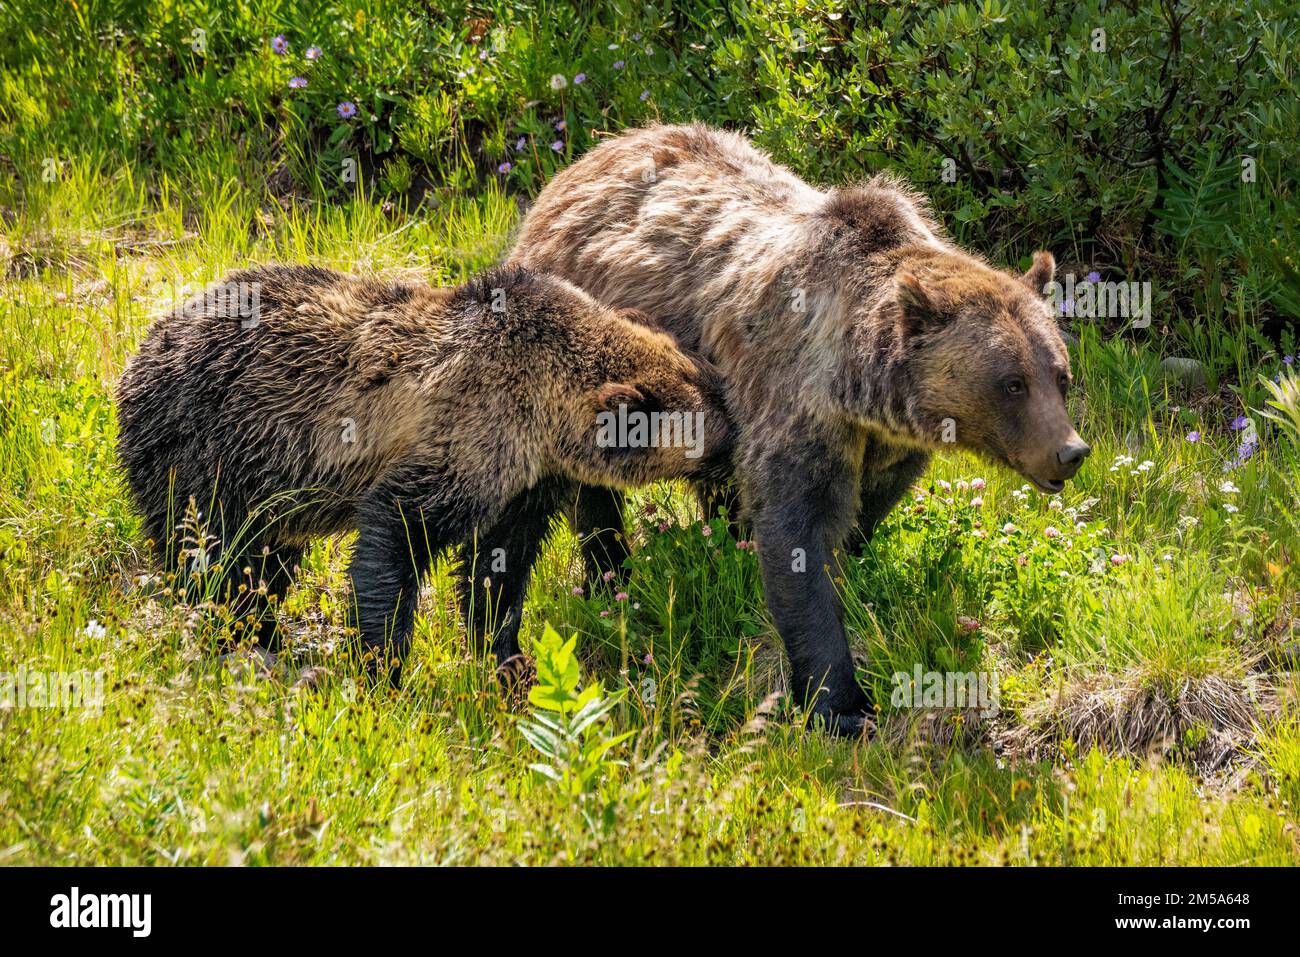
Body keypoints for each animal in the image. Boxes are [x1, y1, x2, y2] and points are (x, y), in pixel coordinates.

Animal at [116, 263, 738, 681]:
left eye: (713, 381)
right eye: (720, 423)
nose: (741, 440)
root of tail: (139, 351)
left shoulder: (522, 483)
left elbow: (498, 566)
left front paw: (507, 656)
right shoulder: (460, 440)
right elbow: (394, 541)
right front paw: (382, 664)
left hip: (268, 491)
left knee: (264, 564)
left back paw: (265, 632)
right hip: (208, 452)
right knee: (212, 558)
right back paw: (237, 638)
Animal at [506, 121, 1086, 733]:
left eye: (1060, 375)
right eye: (1012, 383)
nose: (1070, 451)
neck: (861, 387)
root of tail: (587, 158)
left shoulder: (884, 441)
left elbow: (865, 506)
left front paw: (852, 563)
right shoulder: (794, 398)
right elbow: (798, 532)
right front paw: (842, 703)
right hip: (590, 366)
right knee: (590, 487)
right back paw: (612, 573)